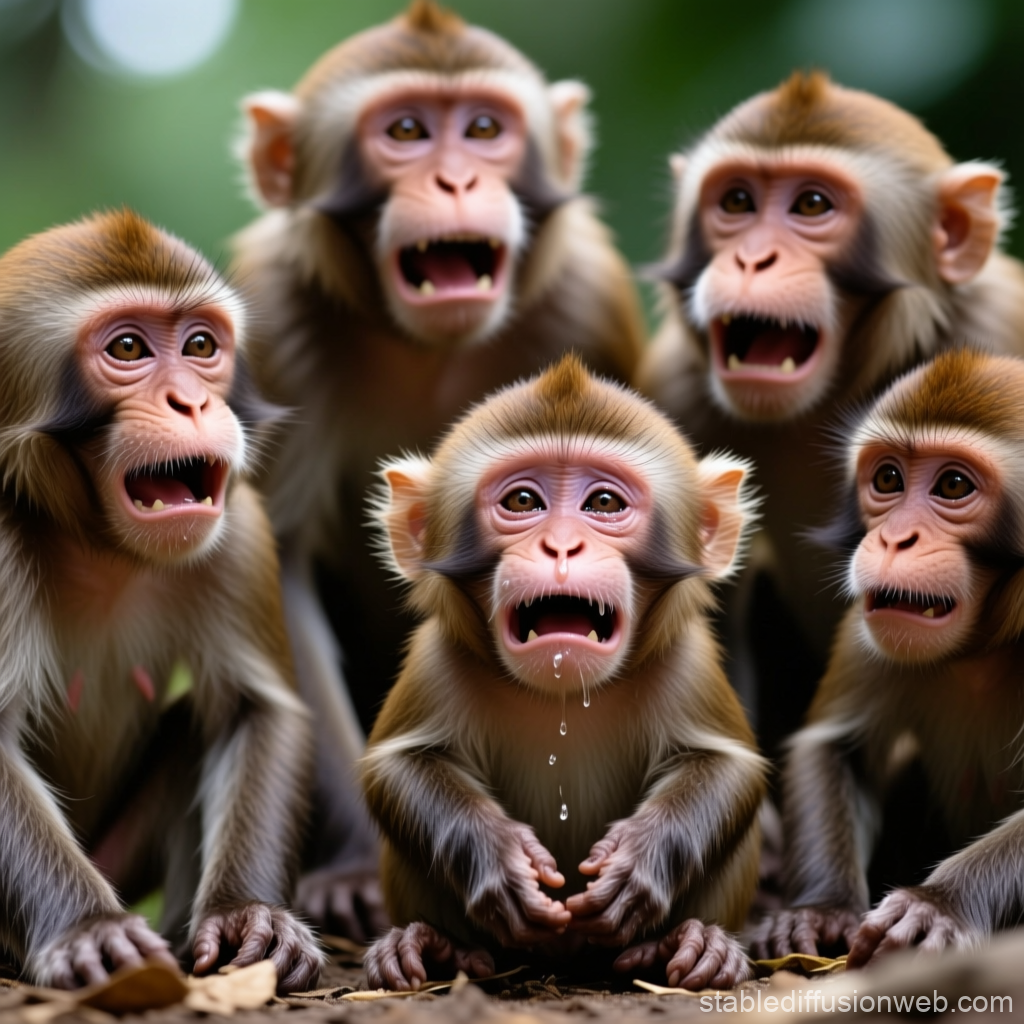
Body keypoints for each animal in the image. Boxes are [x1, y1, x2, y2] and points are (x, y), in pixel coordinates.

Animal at [0, 210, 321, 991]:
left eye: (201, 346)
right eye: (127, 348)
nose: (194, 402)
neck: (98, 544)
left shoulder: (238, 525)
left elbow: (253, 710)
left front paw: (249, 914)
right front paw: (87, 929)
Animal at [231, 0, 646, 936]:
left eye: (485, 130)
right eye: (408, 132)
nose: (456, 180)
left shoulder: (585, 298)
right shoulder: (273, 323)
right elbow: (278, 576)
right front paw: (356, 867)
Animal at [358, 355, 767, 991]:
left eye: (603, 504)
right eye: (524, 501)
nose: (561, 546)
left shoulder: (687, 661)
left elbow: (729, 767)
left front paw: (638, 862)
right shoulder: (437, 658)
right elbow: (397, 766)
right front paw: (499, 860)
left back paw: (692, 944)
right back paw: (435, 946)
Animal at [747, 349, 1024, 964]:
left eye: (953, 485)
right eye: (888, 479)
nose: (895, 539)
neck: (986, 642)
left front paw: (937, 904)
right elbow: (835, 746)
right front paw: (820, 909)